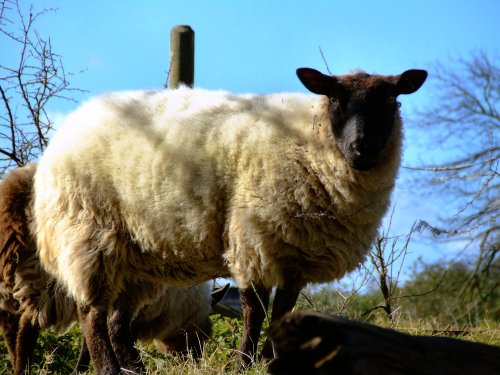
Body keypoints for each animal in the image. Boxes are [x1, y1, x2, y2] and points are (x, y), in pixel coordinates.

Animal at [0, 164, 227, 375]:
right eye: (200, 335)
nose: (194, 362)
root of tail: (12, 192)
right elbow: (115, 335)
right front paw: (130, 367)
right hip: (45, 275)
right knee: (26, 326)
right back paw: (23, 368)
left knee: (13, 327)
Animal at [33, 66, 428, 374]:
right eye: (335, 101)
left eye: (391, 102)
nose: (361, 148)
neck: (309, 140)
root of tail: (69, 128)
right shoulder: (255, 239)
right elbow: (255, 310)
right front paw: (245, 363)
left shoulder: (295, 255)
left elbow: (283, 310)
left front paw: (272, 360)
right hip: (88, 233)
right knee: (92, 314)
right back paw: (110, 369)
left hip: (134, 257)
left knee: (117, 321)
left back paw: (134, 370)